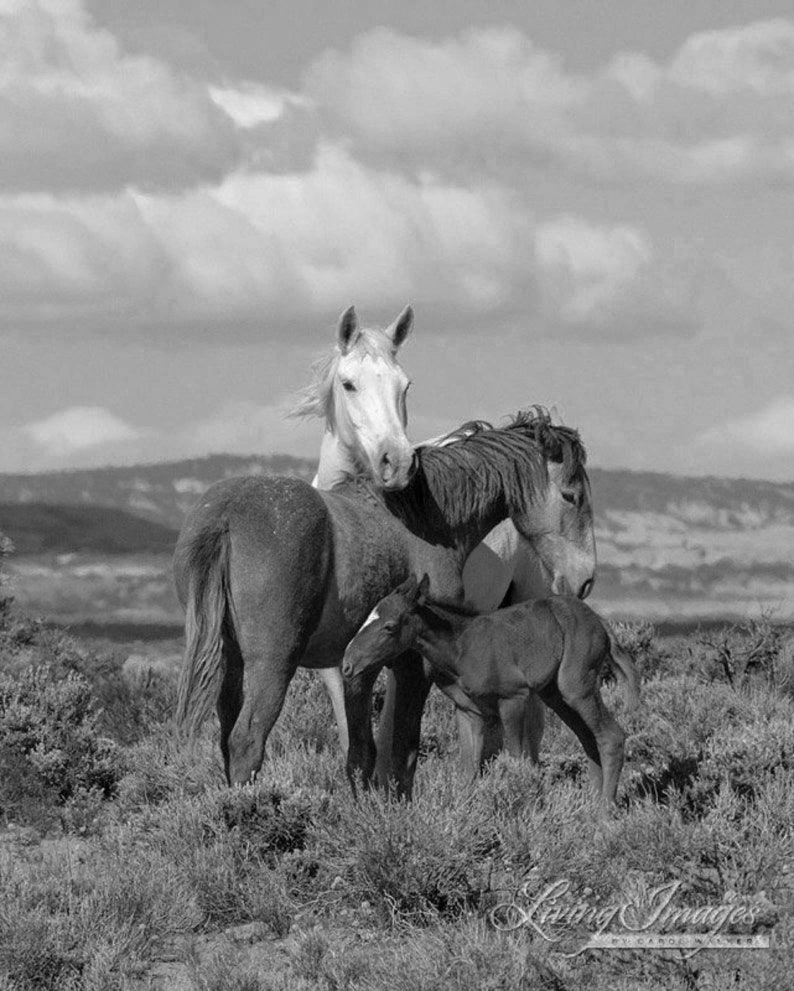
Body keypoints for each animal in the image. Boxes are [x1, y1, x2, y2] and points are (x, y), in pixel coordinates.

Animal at [175, 406, 592, 788]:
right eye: (571, 496)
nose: (585, 579)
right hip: (272, 664)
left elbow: (361, 752)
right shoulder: (413, 663)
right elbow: (403, 749)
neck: (422, 522)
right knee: (247, 742)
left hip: (231, 664)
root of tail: (225, 516)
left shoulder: (360, 666)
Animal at [340, 572, 636, 808]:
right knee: (589, 739)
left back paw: (603, 815)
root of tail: (600, 621)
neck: (460, 647)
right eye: (367, 619)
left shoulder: (513, 698)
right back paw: (590, 807)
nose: (347, 665)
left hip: (576, 688)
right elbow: (468, 770)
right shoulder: (469, 712)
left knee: (611, 736)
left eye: (389, 627)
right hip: (556, 696)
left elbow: (518, 761)